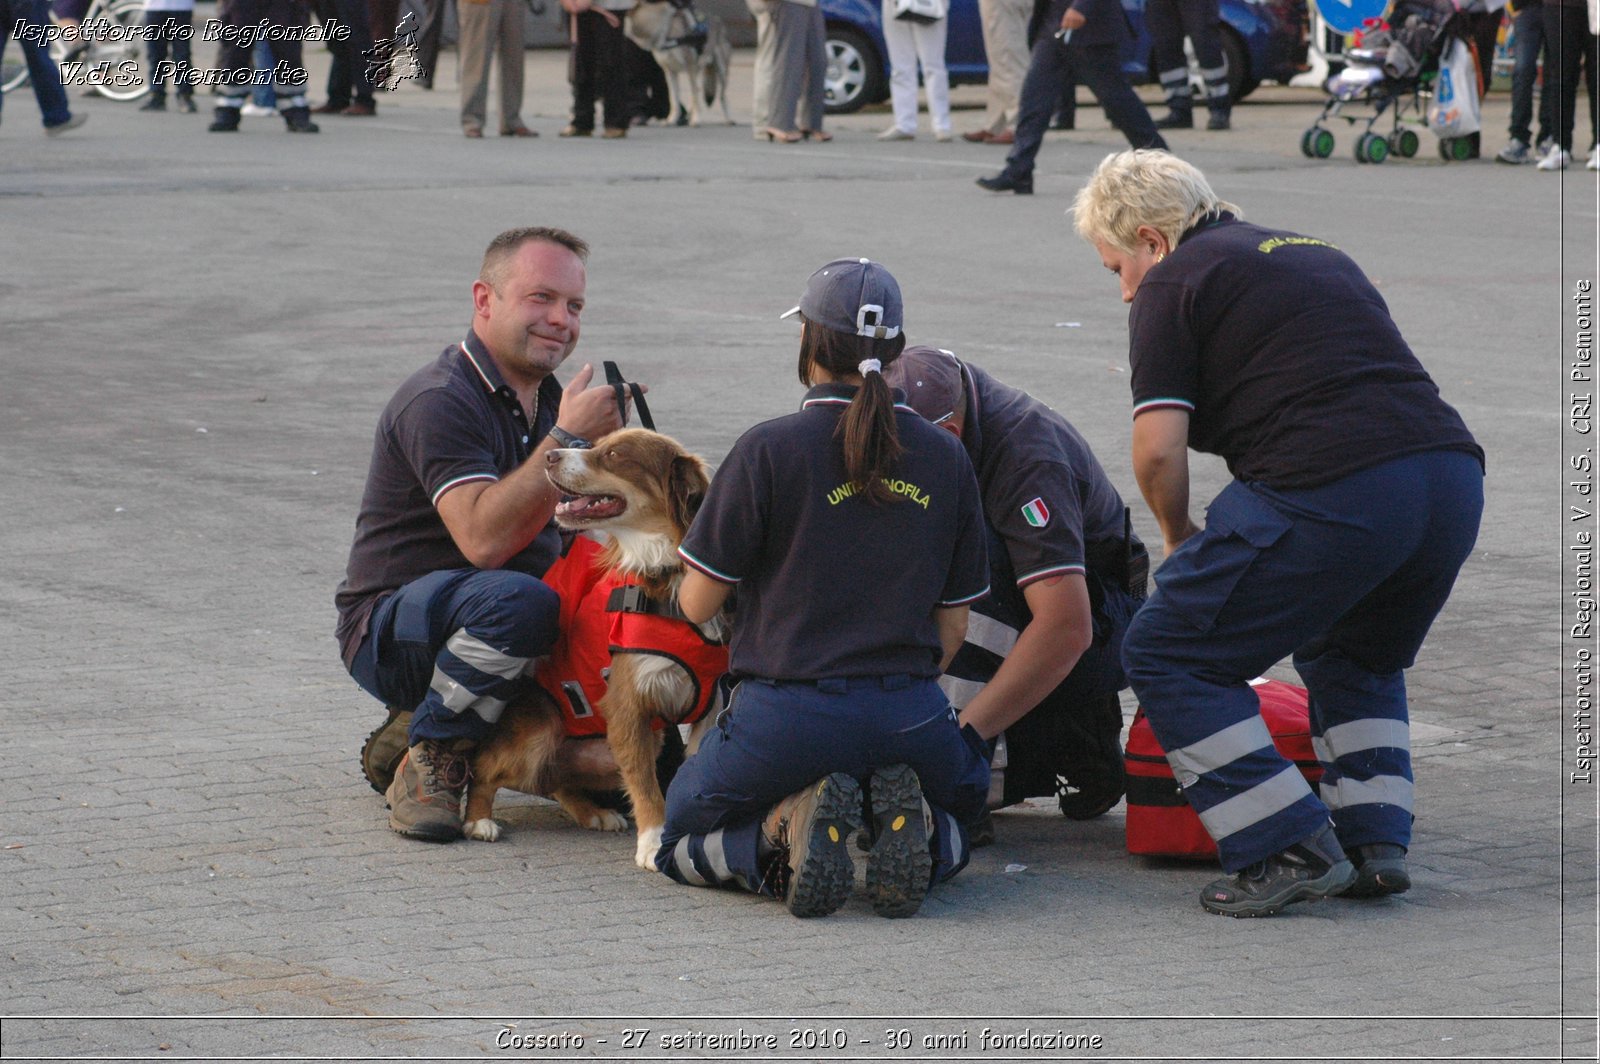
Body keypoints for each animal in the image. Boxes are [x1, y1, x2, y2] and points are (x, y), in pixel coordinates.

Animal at [460, 428, 729, 870]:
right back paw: (478, 820)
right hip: (538, 733)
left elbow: (687, 779)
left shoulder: (709, 706)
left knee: (552, 779)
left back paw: (593, 813)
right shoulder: (628, 705)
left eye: (615, 455)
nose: (550, 455)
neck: (666, 575)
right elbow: (647, 786)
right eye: (598, 443)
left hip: (617, 749)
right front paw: (652, 841)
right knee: (487, 766)